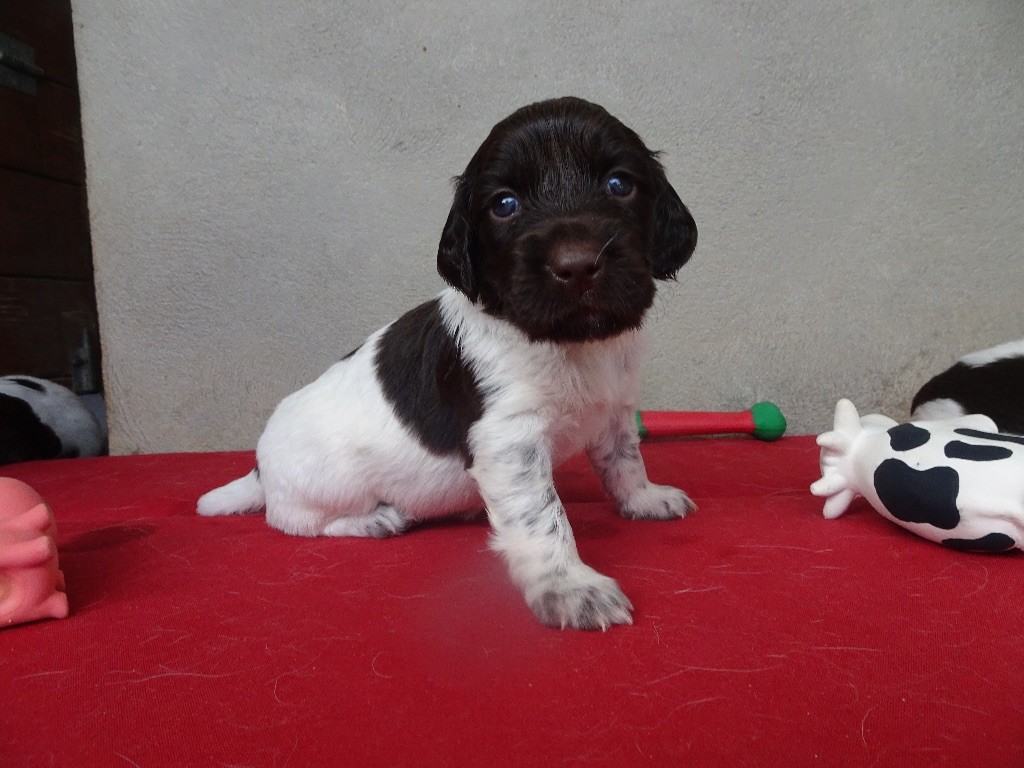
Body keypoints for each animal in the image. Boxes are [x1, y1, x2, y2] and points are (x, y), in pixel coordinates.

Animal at [198, 96, 698, 630]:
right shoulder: (509, 441)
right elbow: (544, 516)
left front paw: (643, 498)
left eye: (619, 185)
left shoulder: (614, 411)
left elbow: (624, 460)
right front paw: (568, 586)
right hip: (321, 490)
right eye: (504, 204)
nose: (578, 264)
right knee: (295, 521)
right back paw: (375, 519)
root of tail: (259, 468)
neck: (569, 343)